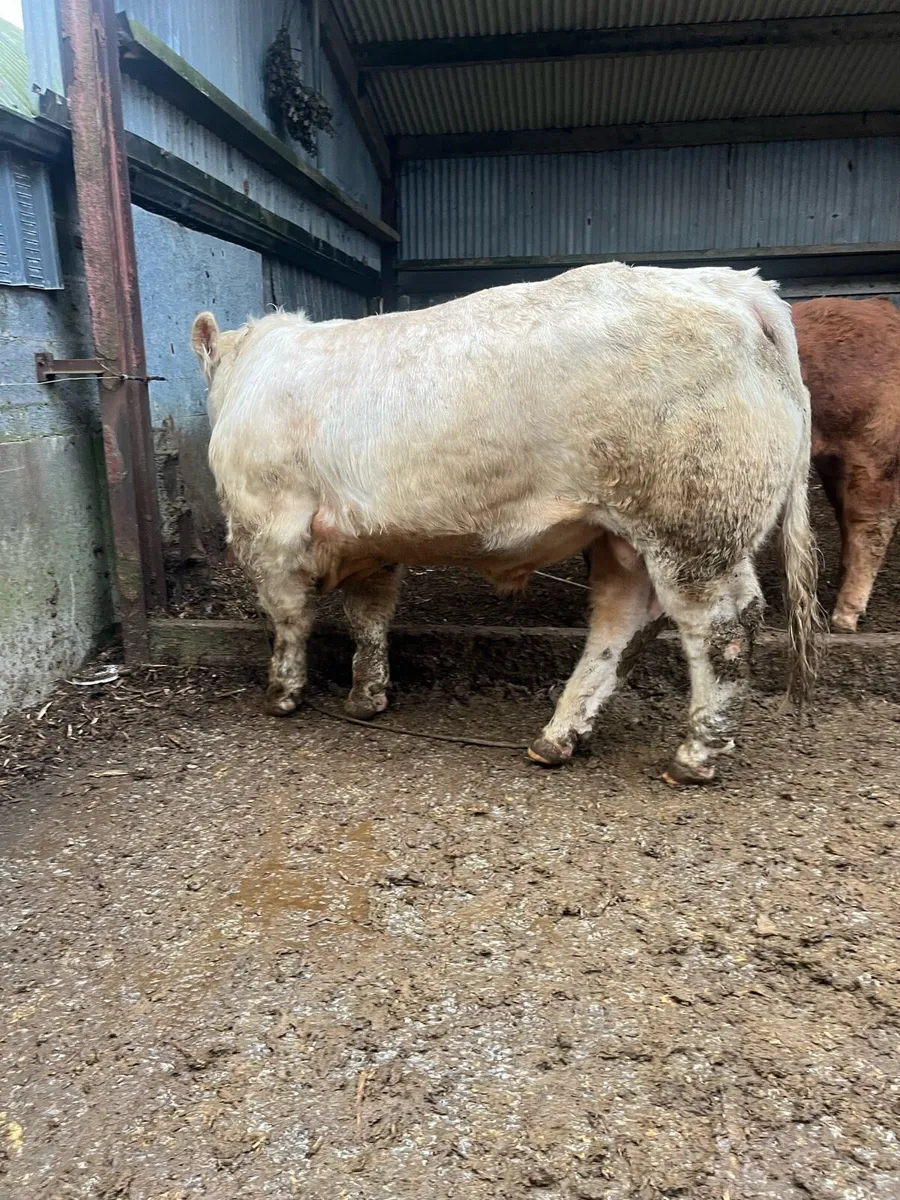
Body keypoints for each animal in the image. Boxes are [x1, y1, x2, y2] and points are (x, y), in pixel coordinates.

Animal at [191, 263, 820, 786]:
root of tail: (732, 285)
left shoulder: (269, 528)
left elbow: (289, 619)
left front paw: (282, 692)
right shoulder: (371, 542)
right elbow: (369, 616)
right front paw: (367, 696)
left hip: (692, 527)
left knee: (723, 629)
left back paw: (694, 754)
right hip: (628, 534)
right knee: (623, 621)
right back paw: (558, 737)